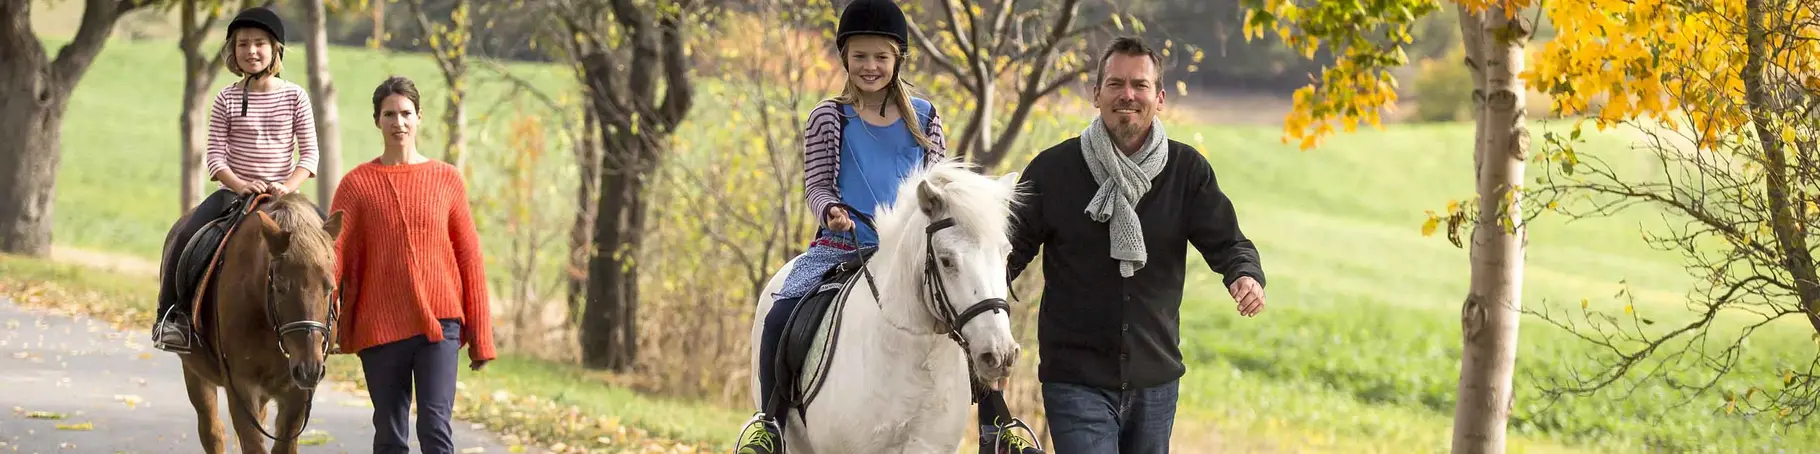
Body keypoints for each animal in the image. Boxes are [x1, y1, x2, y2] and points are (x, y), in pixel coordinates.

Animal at [169, 193, 345, 452]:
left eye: (329, 287)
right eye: (280, 286)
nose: (309, 369)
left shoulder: (297, 394)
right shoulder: (241, 386)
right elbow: (252, 443)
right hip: (194, 372)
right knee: (212, 431)